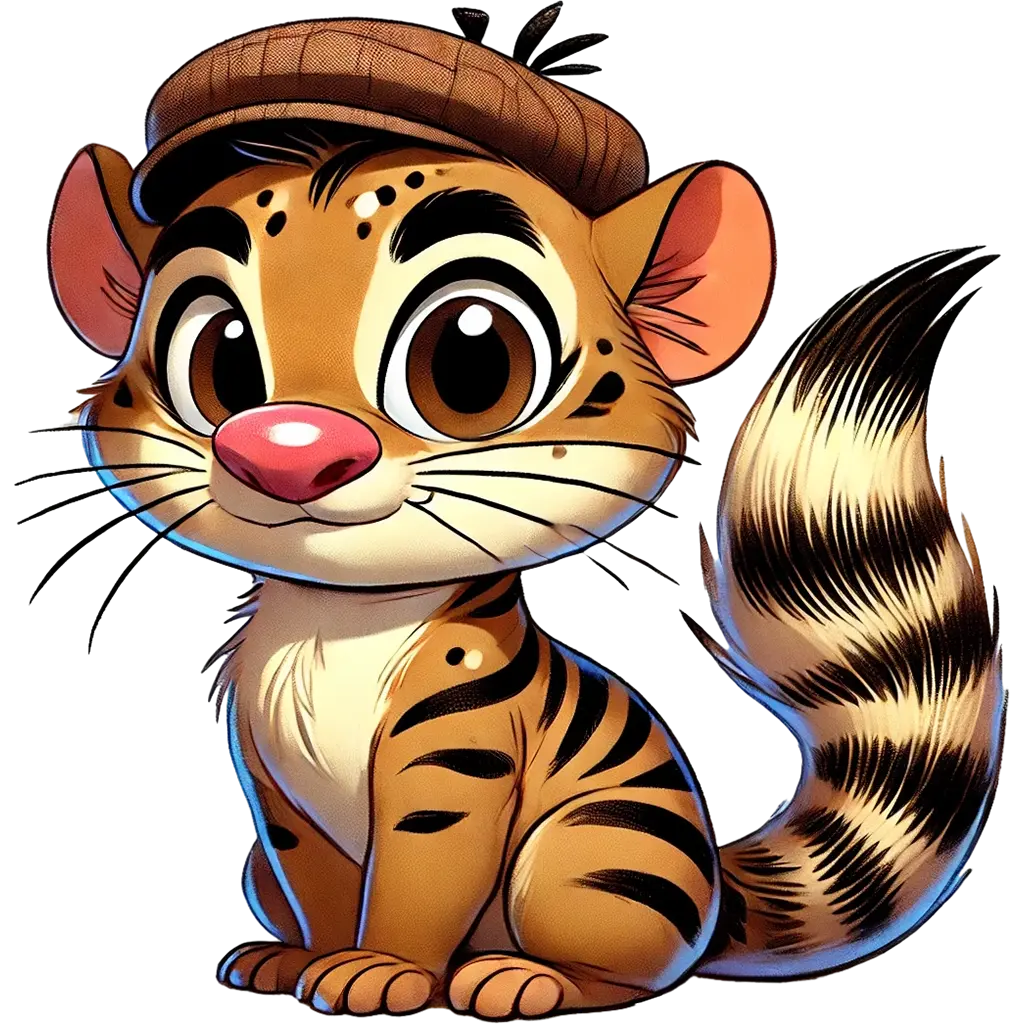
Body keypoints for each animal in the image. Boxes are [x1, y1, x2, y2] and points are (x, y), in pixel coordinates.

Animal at [37, 14, 1005, 1021]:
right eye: (221, 357)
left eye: (471, 361)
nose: (285, 451)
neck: (337, 626)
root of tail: (718, 891)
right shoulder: (274, 793)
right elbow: (321, 883)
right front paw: (313, 961)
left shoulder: (456, 770)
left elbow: (418, 885)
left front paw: (382, 971)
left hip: (595, 854)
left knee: (629, 967)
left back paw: (525, 977)